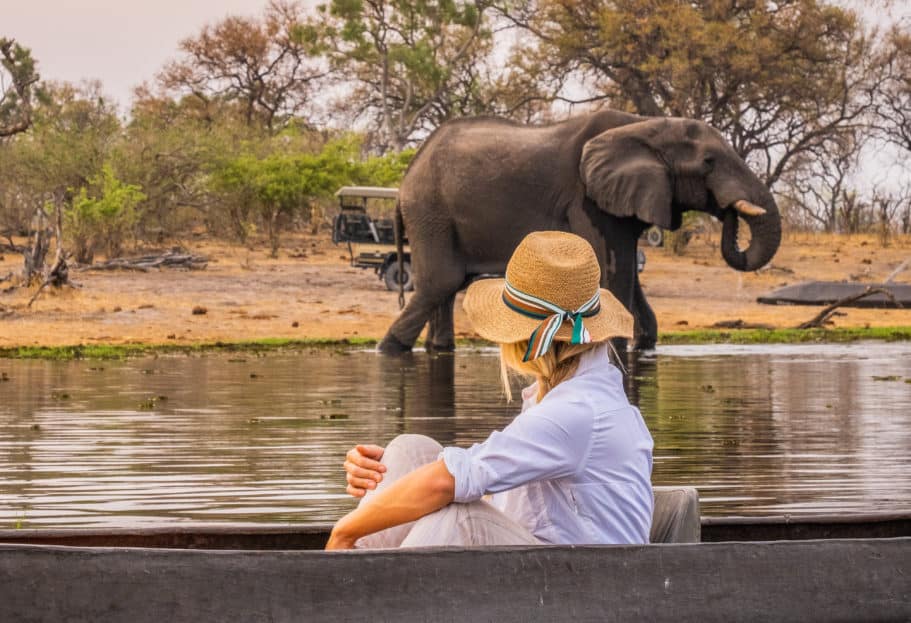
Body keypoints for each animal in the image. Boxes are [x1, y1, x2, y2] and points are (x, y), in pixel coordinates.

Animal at [378, 109, 782, 354]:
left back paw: (437, 348)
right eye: (708, 163)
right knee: (441, 281)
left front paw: (643, 345)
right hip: (430, 211)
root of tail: (406, 177)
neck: (646, 125)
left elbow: (629, 276)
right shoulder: (588, 199)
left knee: (446, 287)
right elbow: (615, 271)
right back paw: (389, 348)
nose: (728, 211)